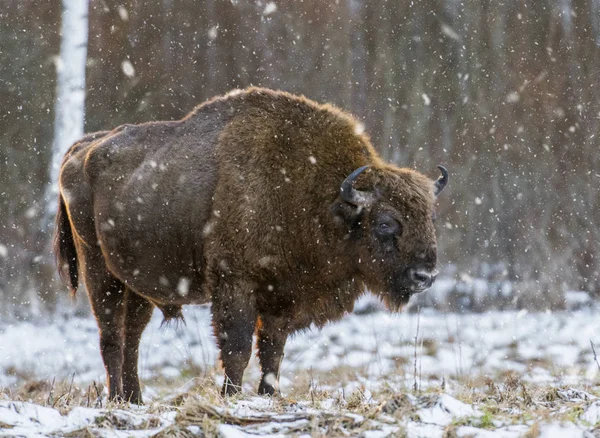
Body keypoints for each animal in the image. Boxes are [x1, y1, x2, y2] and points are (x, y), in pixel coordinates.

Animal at [55, 87, 446, 402]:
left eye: (429, 217)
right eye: (385, 223)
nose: (425, 276)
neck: (319, 197)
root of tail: (82, 148)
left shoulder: (283, 296)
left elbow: (272, 350)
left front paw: (268, 396)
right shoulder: (235, 285)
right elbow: (238, 348)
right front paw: (231, 396)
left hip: (136, 285)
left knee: (132, 338)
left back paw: (134, 400)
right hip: (99, 271)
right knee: (111, 338)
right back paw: (116, 399)